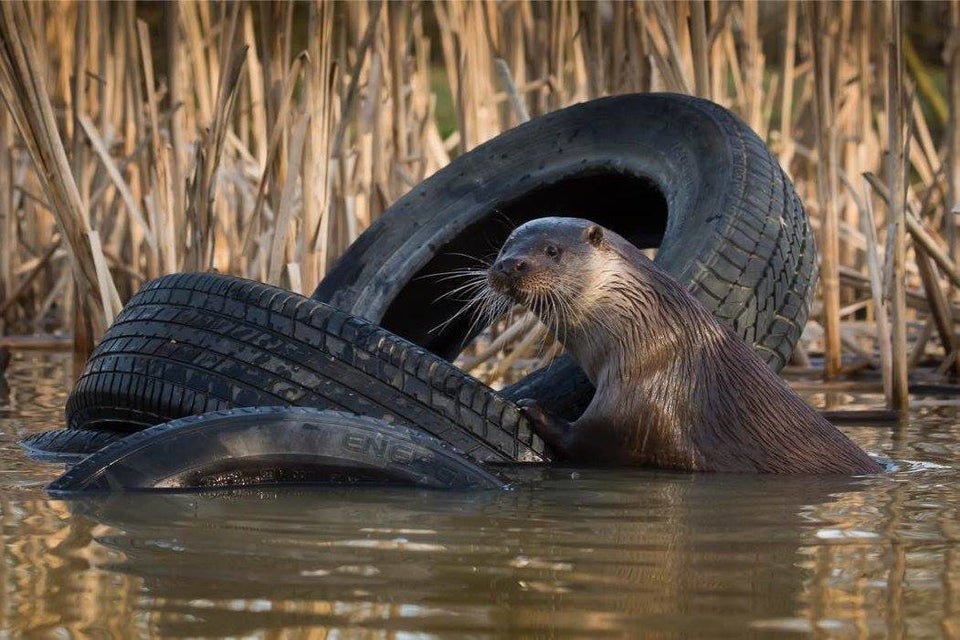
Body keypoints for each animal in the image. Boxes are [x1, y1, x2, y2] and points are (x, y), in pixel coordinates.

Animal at [488, 218, 884, 472]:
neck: (651, 335)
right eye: (504, 246)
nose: (509, 264)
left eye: (552, 250)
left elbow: (596, 438)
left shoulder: (646, 401)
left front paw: (534, 407)